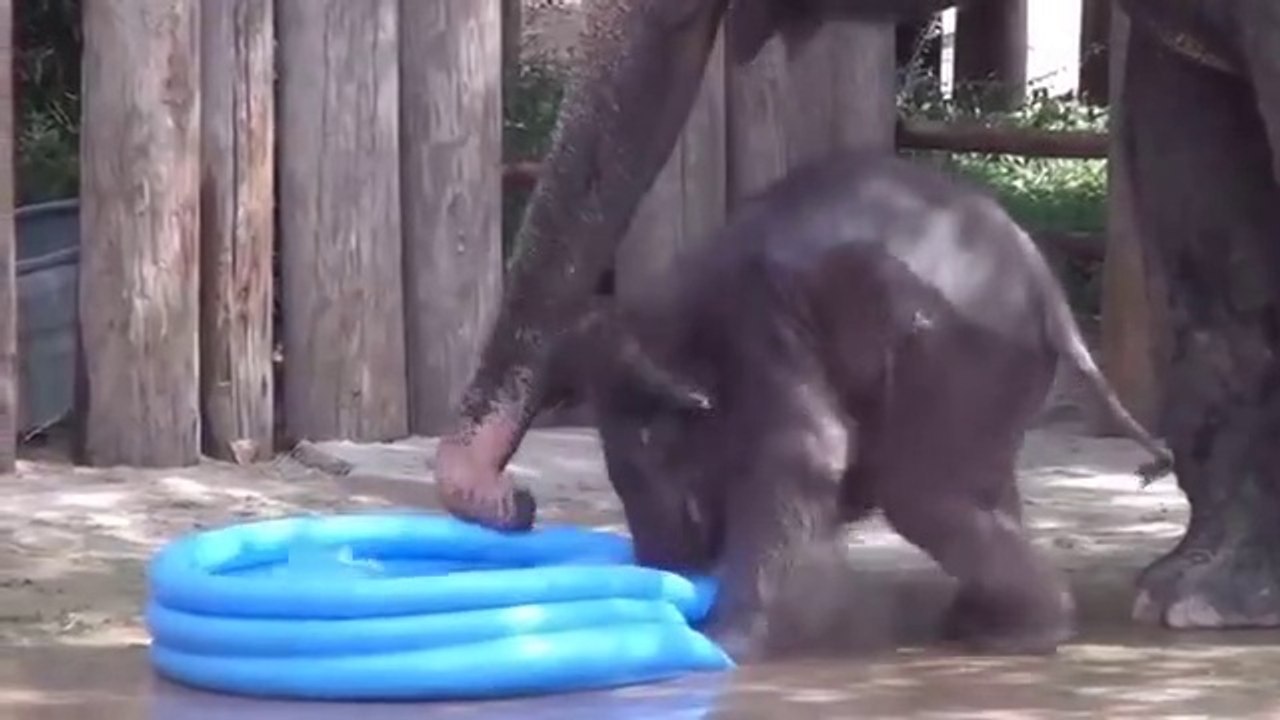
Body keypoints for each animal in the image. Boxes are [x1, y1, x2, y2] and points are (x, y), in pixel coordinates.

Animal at [536, 150, 1170, 660]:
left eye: (654, 454)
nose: (684, 576)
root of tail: (1049, 293)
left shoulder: (764, 322)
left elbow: (802, 451)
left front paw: (725, 644)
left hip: (958, 348)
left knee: (920, 495)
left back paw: (1020, 636)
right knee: (976, 484)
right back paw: (988, 626)